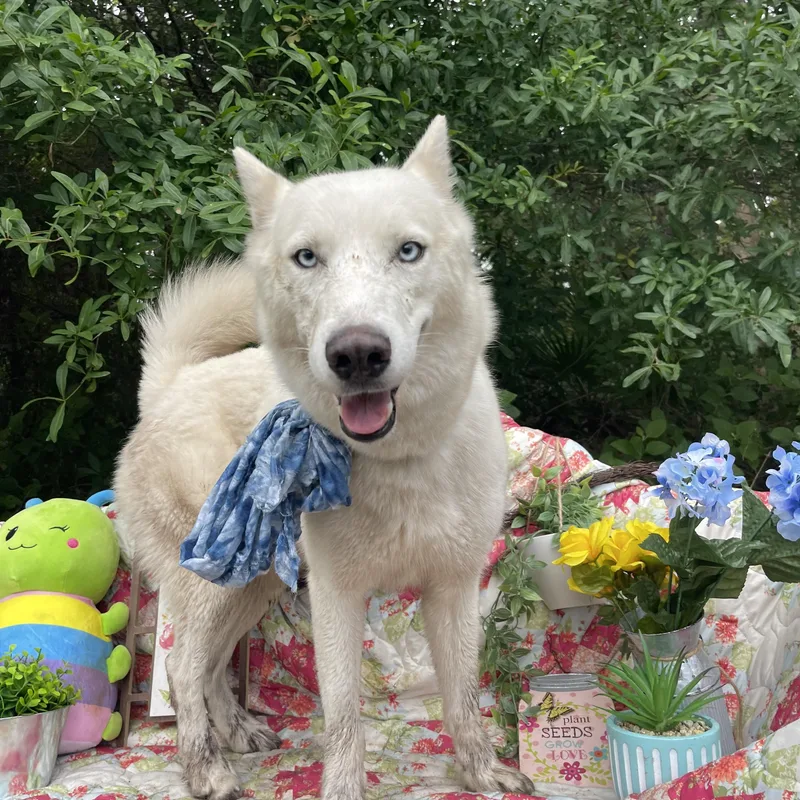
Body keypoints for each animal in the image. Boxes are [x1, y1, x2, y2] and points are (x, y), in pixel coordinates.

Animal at [114, 116, 535, 800]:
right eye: (307, 257)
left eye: (408, 251)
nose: (357, 353)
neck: (400, 463)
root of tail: (168, 385)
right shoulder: (338, 597)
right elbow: (343, 719)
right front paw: (342, 787)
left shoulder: (451, 590)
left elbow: (464, 701)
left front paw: (483, 773)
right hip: (212, 588)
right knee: (181, 667)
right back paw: (206, 768)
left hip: (250, 588)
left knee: (208, 669)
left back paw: (238, 736)